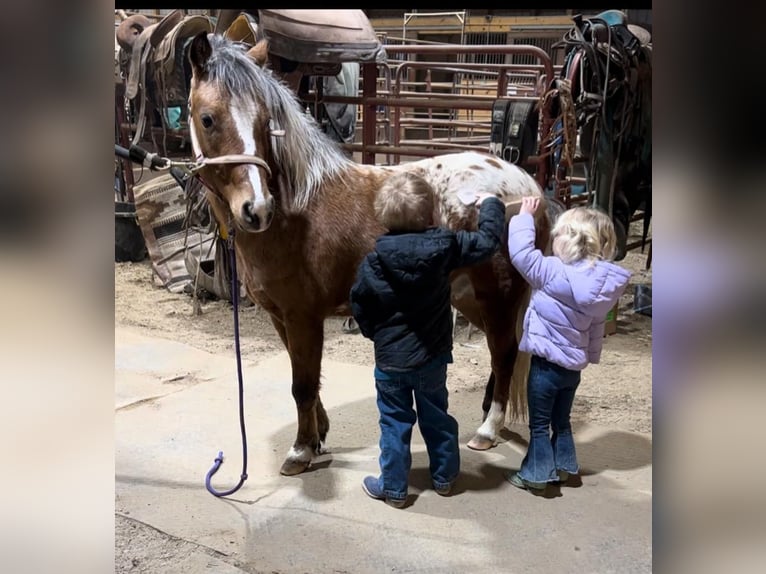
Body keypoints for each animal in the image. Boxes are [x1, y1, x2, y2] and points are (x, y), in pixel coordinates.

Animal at [188, 33, 552, 480]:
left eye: (263, 123)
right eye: (208, 119)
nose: (256, 209)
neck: (296, 211)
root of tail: (528, 187)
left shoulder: (303, 316)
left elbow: (302, 384)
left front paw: (301, 451)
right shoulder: (280, 317)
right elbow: (306, 379)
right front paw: (319, 435)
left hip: (497, 298)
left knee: (504, 355)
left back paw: (487, 430)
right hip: (471, 299)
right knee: (505, 353)